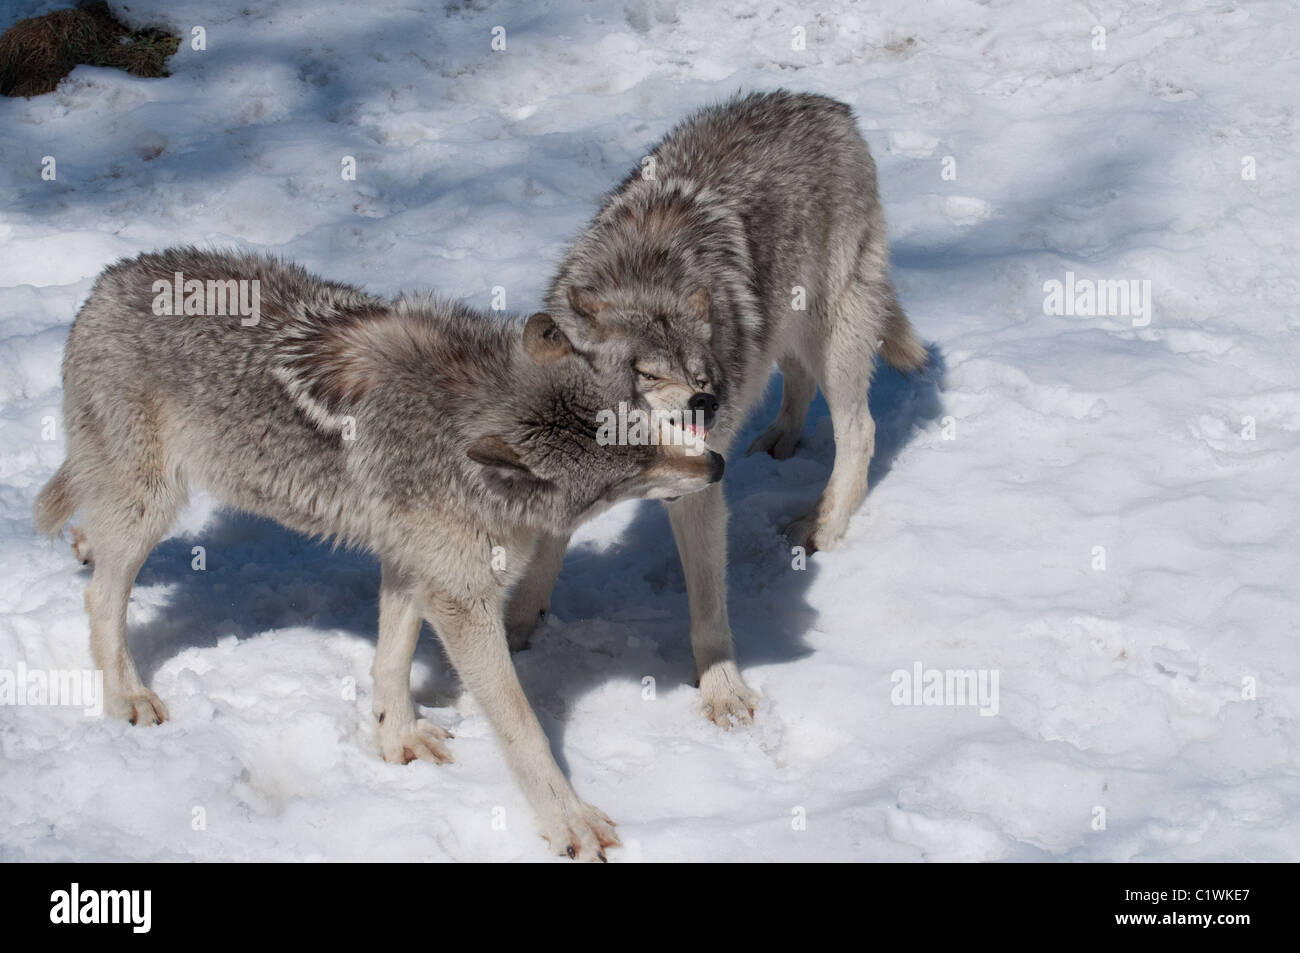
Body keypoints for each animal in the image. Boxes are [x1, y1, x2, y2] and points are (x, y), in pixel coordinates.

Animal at [33, 247, 724, 860]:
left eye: (641, 423)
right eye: (624, 477)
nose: (716, 464)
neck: (454, 420)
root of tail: (106, 282)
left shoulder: (414, 565)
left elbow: (391, 661)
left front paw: (397, 739)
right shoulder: (463, 600)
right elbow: (523, 729)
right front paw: (568, 821)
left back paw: (85, 546)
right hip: (151, 507)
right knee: (100, 598)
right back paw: (126, 696)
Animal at [505, 90, 927, 726]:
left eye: (700, 376)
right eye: (647, 373)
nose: (708, 403)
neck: (646, 278)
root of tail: (829, 104)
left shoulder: (699, 491)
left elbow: (708, 606)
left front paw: (723, 691)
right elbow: (539, 568)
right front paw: (512, 637)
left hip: (833, 333)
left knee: (861, 430)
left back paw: (822, 525)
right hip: (791, 326)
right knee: (795, 377)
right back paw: (779, 440)